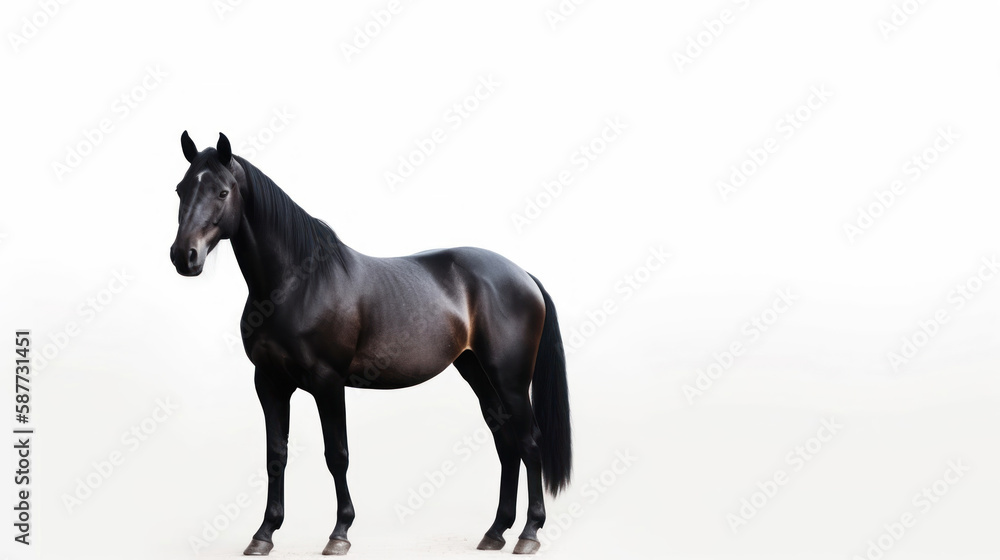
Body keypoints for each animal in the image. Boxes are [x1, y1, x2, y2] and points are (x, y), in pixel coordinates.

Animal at [169, 132, 571, 556]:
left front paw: (339, 533)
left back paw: (529, 533)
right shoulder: (269, 383)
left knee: (529, 442)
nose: (184, 256)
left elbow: (337, 455)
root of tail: (522, 275)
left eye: (222, 192)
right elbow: (275, 455)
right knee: (507, 444)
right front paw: (264, 534)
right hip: (478, 373)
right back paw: (495, 532)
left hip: (510, 380)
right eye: (180, 189)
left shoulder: (327, 383)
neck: (298, 285)